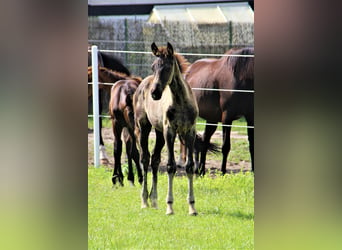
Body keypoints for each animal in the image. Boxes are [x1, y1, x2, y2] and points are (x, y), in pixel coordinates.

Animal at [133, 43, 198, 215]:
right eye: (153, 67)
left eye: (167, 67)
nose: (155, 93)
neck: (181, 101)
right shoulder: (170, 131)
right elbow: (170, 166)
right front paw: (169, 206)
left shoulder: (190, 132)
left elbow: (190, 166)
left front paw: (192, 207)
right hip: (143, 127)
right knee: (145, 158)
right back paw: (144, 201)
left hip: (159, 133)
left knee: (155, 159)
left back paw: (154, 200)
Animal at [184, 47, 254, 176]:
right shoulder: (227, 118)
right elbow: (226, 146)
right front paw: (223, 172)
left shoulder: (251, 117)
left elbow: (252, 144)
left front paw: (253, 171)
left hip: (211, 119)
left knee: (205, 140)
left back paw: (201, 170)